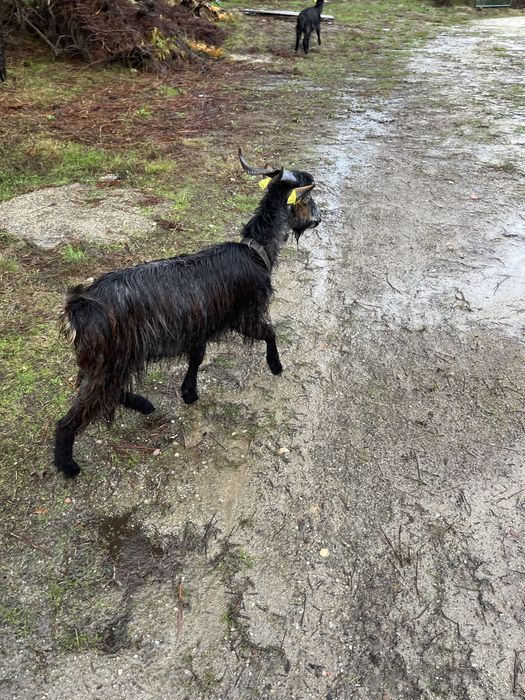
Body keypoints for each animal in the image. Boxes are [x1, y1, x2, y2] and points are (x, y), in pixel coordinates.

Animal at [54, 148, 322, 477]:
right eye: (307, 199)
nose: (319, 219)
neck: (255, 250)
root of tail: (78, 307)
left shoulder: (199, 325)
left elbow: (197, 358)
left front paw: (189, 392)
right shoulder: (245, 314)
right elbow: (270, 332)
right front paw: (275, 365)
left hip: (109, 359)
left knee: (109, 391)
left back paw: (143, 405)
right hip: (111, 357)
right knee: (76, 413)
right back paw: (67, 465)